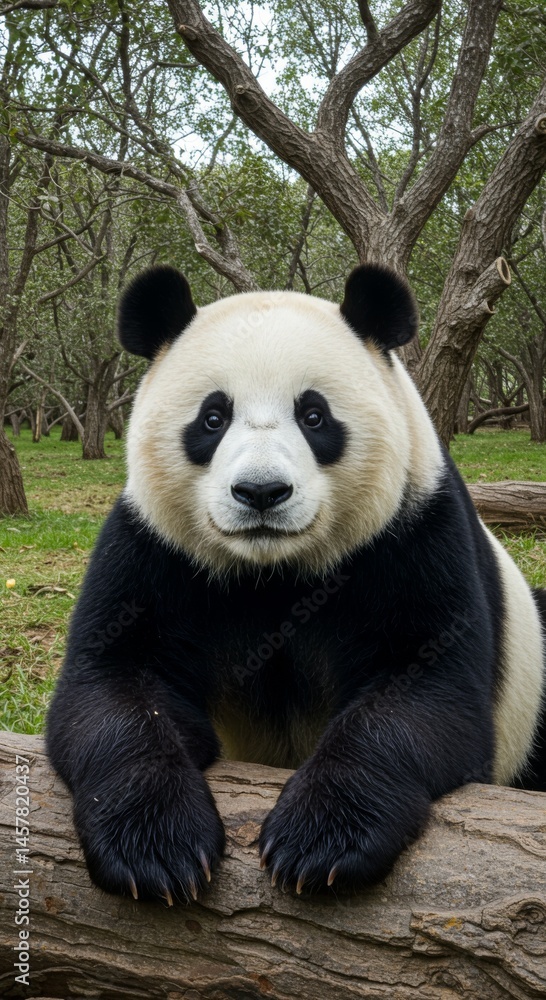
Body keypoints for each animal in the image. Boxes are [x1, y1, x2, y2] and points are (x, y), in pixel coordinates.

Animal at [46, 263, 546, 904]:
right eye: (213, 418)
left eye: (314, 416)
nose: (261, 492)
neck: (273, 571)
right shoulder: (154, 550)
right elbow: (111, 688)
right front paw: (155, 848)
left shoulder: (412, 534)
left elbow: (427, 695)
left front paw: (319, 842)